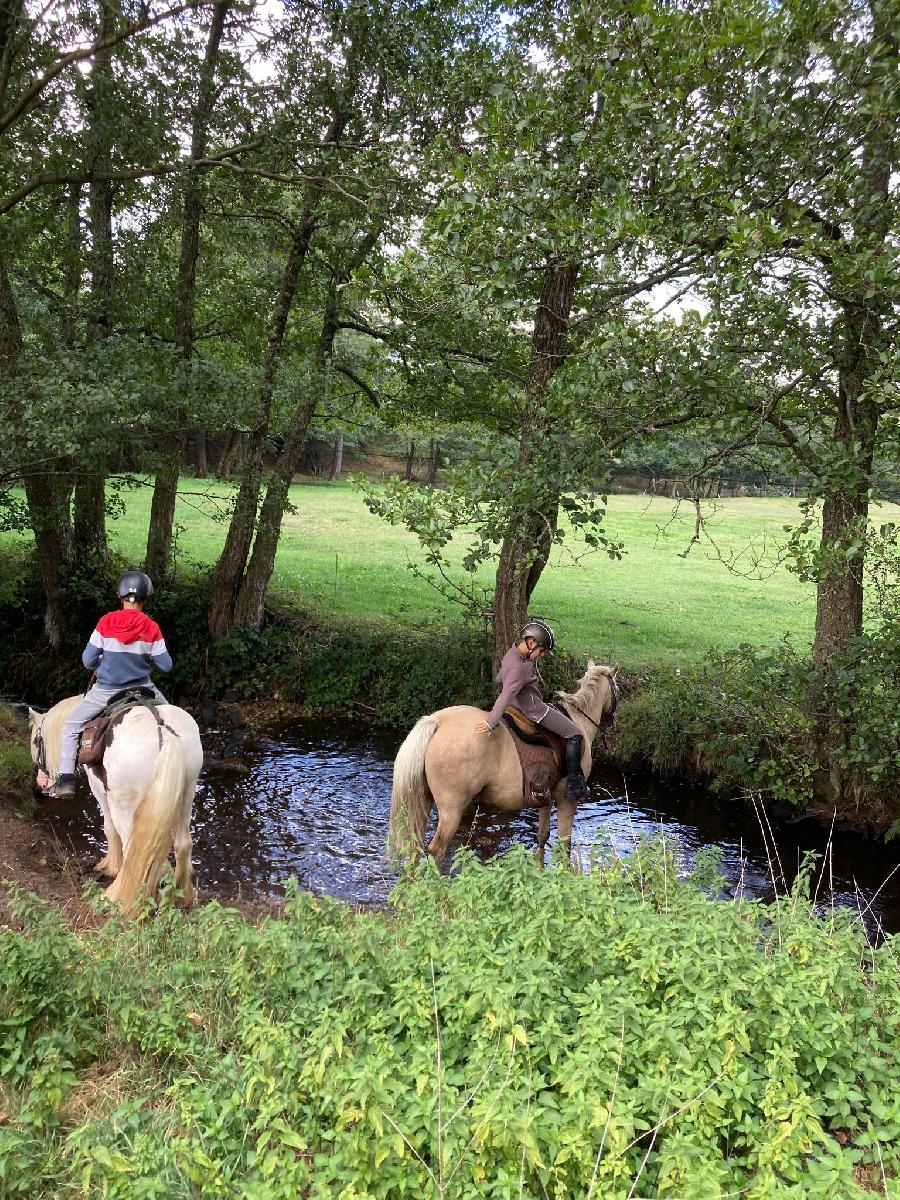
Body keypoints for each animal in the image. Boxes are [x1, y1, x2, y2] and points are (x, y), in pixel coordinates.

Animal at [29, 696, 204, 907]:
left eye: (35, 742)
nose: (40, 783)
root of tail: (165, 732)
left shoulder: (98, 789)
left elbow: (108, 828)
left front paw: (110, 866)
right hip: (186, 793)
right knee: (182, 844)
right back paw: (180, 897)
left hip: (123, 804)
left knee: (132, 848)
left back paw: (118, 898)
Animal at [388, 662, 619, 868]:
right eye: (617, 689)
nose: (611, 722)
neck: (579, 722)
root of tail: (438, 721)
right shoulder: (566, 800)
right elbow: (565, 845)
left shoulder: (546, 797)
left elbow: (542, 836)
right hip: (451, 809)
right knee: (436, 850)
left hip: (424, 802)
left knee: (415, 845)